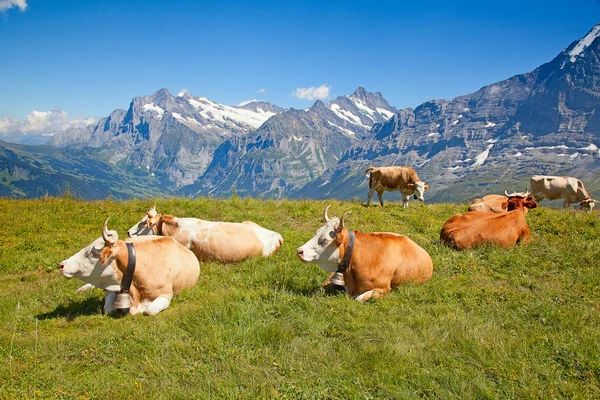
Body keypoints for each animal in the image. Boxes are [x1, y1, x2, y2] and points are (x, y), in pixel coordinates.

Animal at [296, 206, 432, 304]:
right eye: (316, 233)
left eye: (323, 240)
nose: (299, 251)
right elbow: (320, 288)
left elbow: (359, 299)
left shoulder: (384, 289)